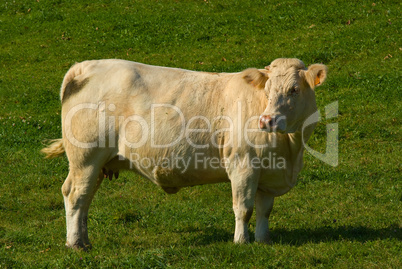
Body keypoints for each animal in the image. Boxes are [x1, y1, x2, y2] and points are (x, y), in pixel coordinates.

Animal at [43, 57, 326, 248]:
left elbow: (264, 210)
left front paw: (263, 240)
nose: (267, 120)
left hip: (98, 164)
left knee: (85, 199)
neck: (290, 150)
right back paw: (75, 244)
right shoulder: (242, 165)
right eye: (267, 90)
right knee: (75, 195)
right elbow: (243, 208)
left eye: (294, 89)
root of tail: (84, 66)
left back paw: (84, 240)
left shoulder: (268, 172)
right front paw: (241, 241)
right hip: (85, 158)